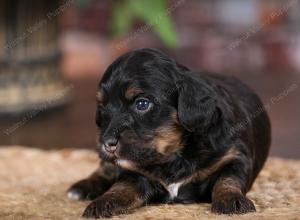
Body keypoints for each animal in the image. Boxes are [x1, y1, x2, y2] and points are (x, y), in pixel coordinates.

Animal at [68, 48, 272, 218]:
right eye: (102, 107)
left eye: (142, 104)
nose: (107, 143)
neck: (173, 156)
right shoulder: (134, 172)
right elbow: (121, 186)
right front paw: (102, 202)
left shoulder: (235, 156)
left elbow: (228, 179)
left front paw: (232, 201)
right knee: (105, 169)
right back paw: (81, 188)